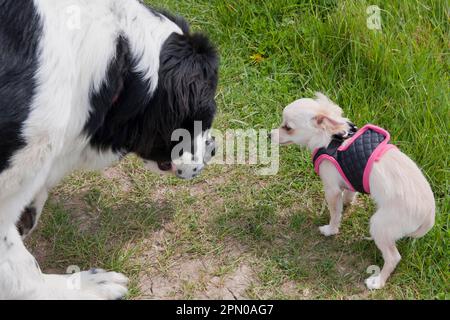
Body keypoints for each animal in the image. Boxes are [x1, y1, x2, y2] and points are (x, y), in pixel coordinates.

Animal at [272, 93, 434, 290]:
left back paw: (377, 282)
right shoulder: (348, 179)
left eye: (288, 127)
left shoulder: (331, 189)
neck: (332, 138)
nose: (269, 134)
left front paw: (331, 229)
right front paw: (347, 204)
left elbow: (335, 213)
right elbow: (348, 196)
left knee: (393, 257)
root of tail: (429, 215)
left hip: (381, 223)